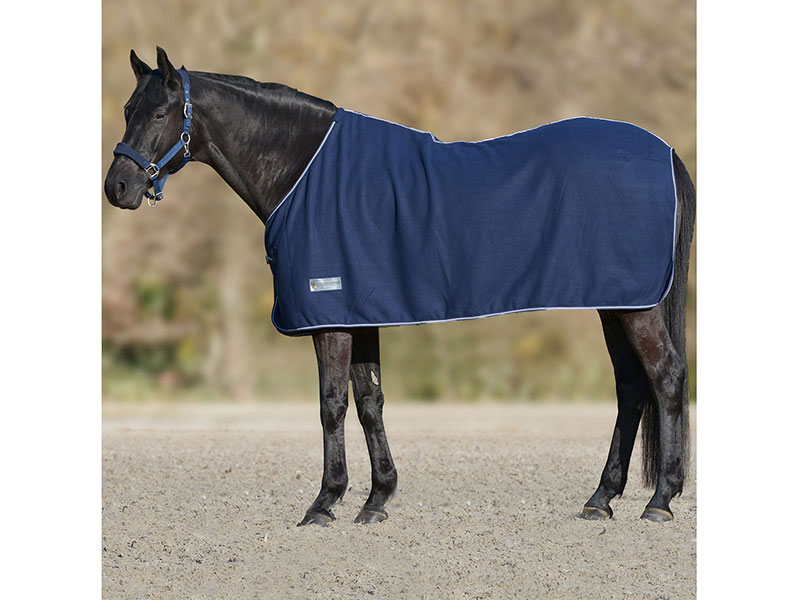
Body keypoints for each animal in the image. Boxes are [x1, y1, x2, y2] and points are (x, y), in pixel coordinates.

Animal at [104, 48, 695, 526]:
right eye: (128, 110)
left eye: (160, 113)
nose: (118, 187)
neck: (304, 172)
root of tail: (664, 151)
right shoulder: (358, 314)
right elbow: (371, 402)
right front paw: (376, 500)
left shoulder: (331, 318)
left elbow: (332, 405)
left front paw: (325, 503)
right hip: (617, 302)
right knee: (630, 387)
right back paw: (602, 499)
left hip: (634, 306)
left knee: (664, 377)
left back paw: (659, 501)